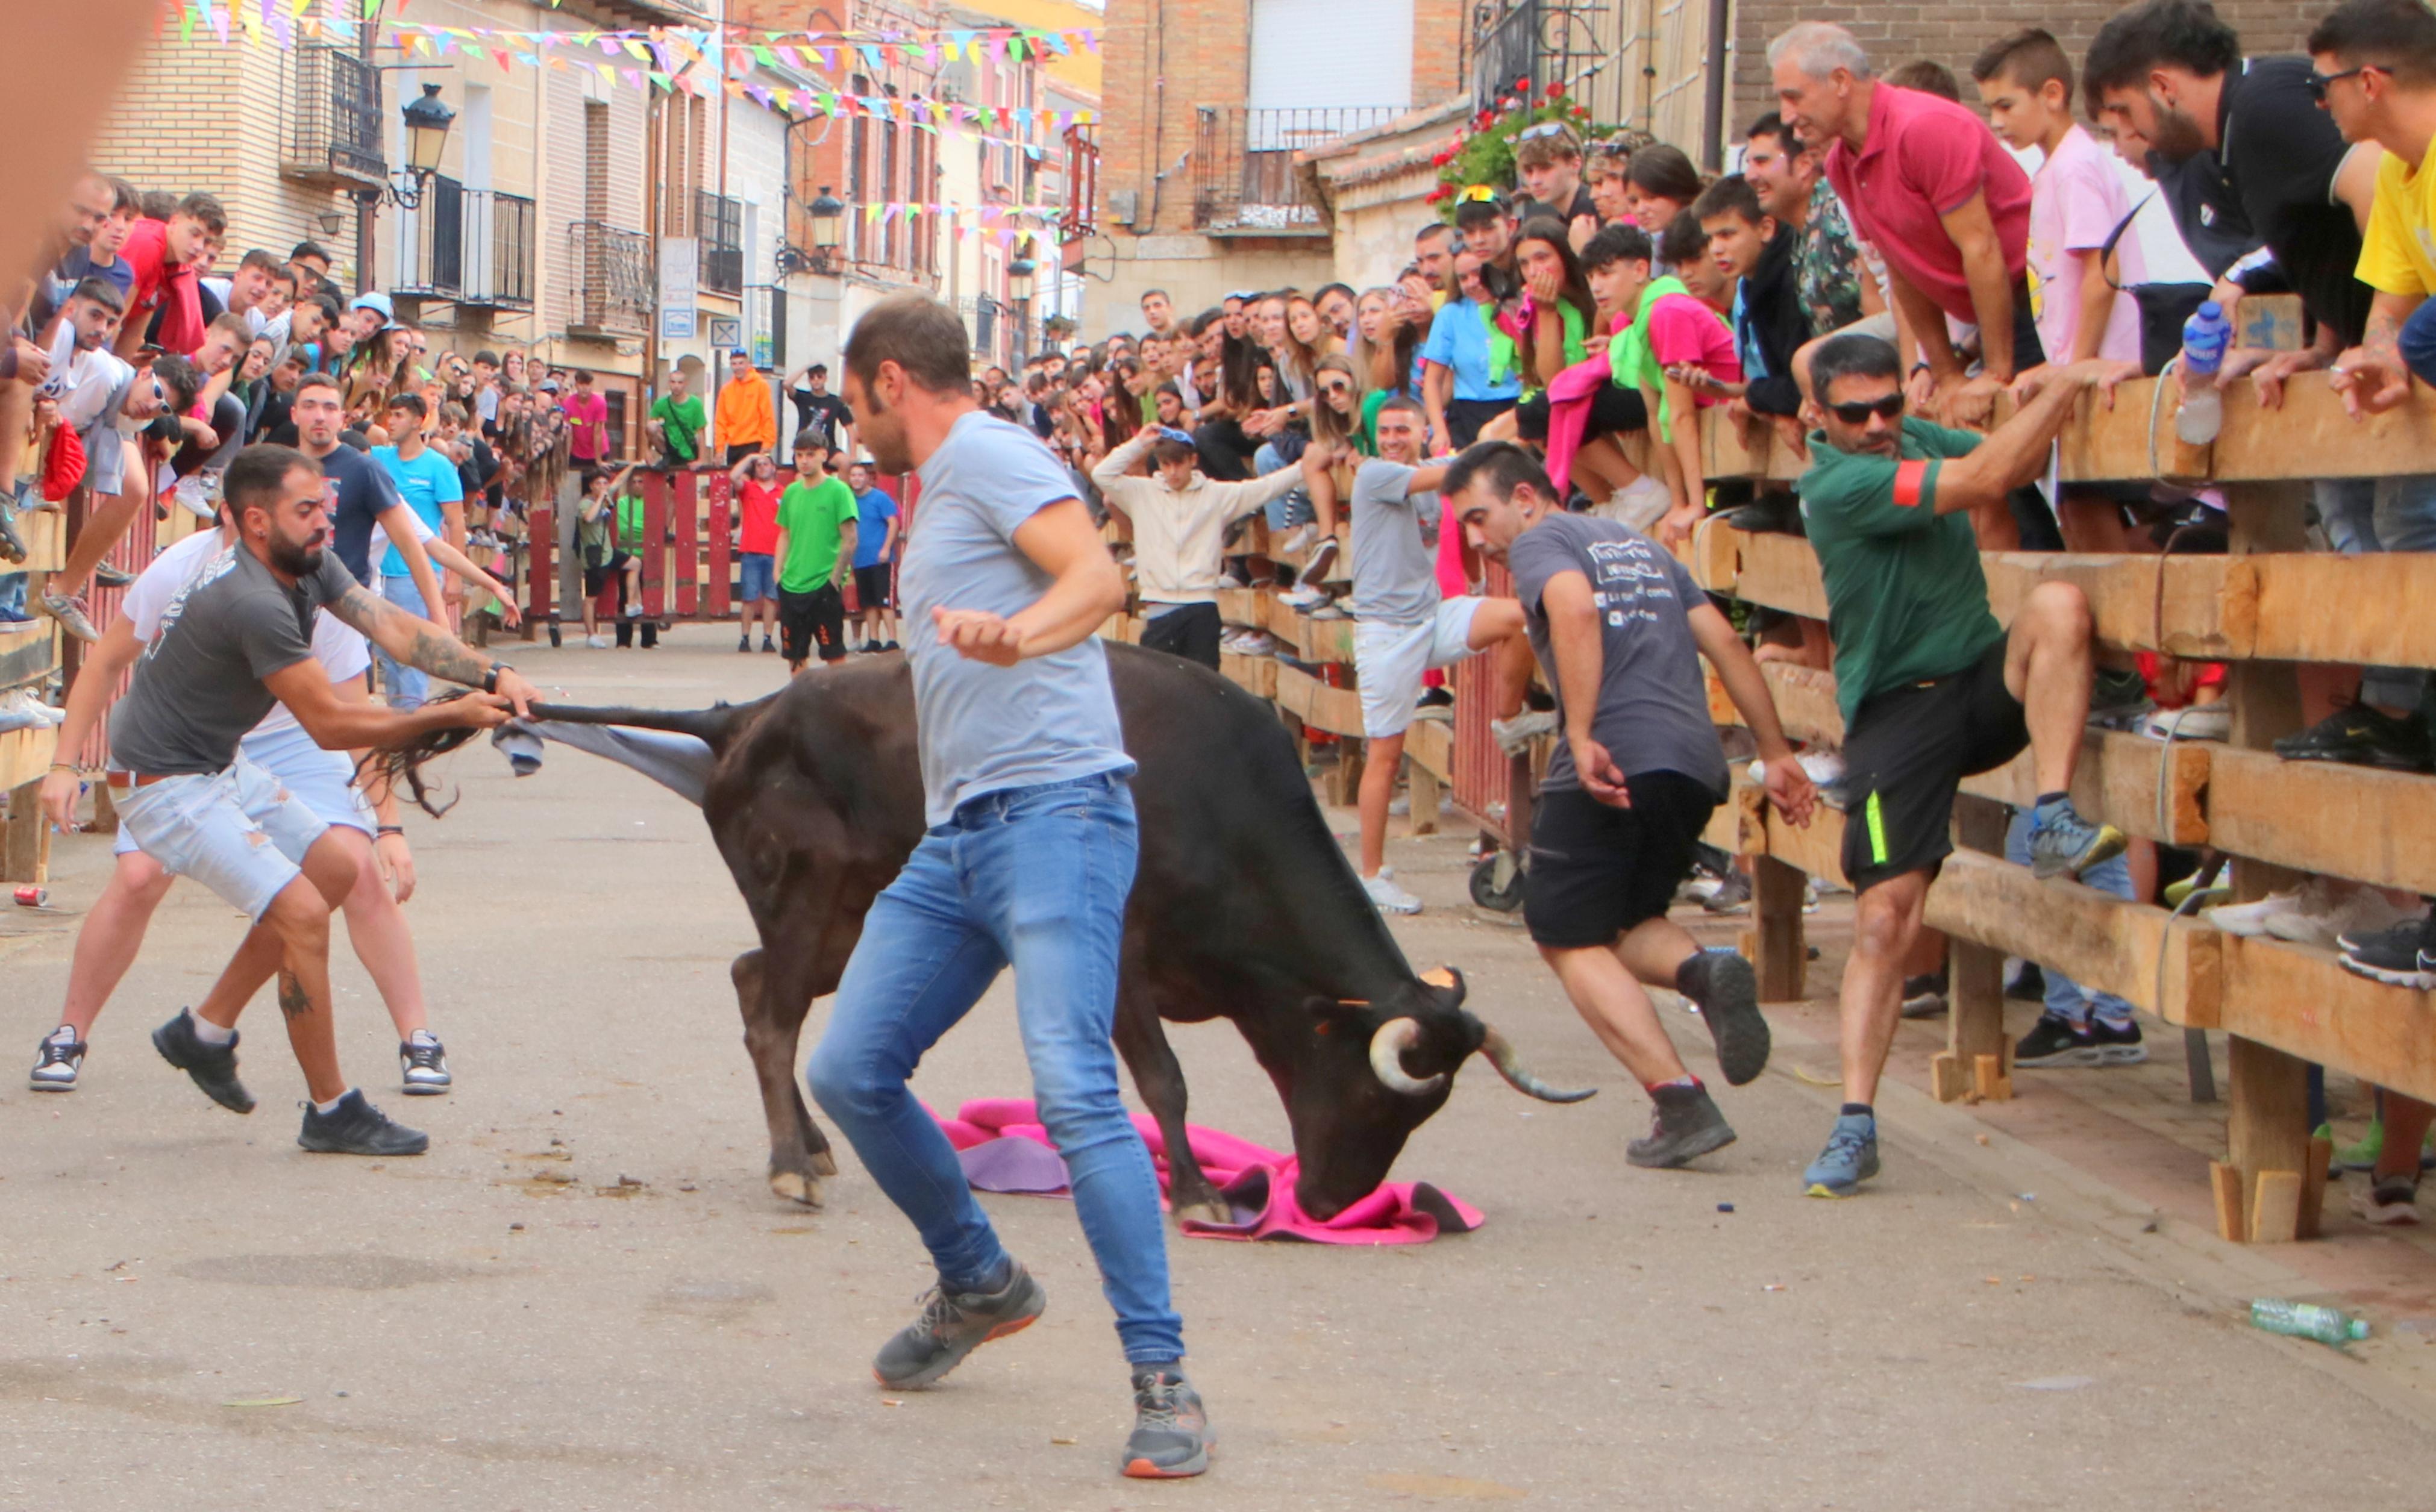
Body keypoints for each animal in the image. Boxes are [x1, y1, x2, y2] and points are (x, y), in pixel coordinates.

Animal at [387, 643, 1588, 1222]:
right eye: (1377, 1097)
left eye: (1425, 1114)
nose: (1336, 1203)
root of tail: (744, 716)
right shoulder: (1120, 957)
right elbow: (1161, 1080)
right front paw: (1196, 1190)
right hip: (810, 896)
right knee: (771, 1015)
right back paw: (789, 1166)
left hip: (843, 915)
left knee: (750, 983)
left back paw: (812, 1147)